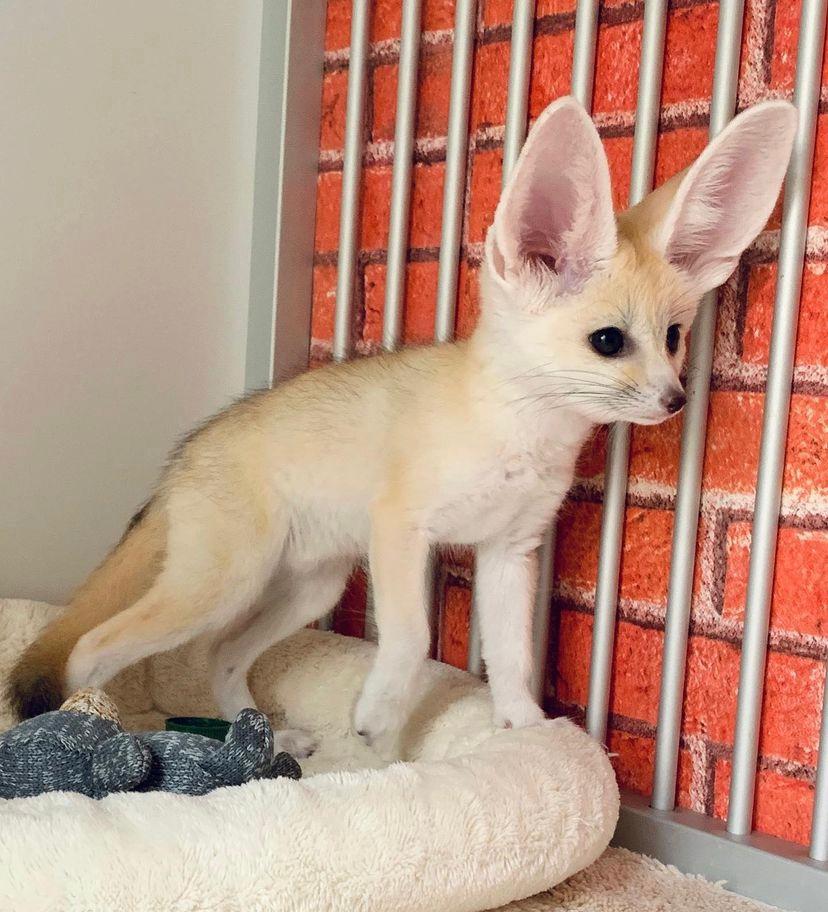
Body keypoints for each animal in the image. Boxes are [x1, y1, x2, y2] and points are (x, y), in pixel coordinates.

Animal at [7, 97, 797, 757]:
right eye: (608, 341)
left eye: (672, 338)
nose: (674, 400)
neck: (515, 433)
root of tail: (185, 455)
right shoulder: (401, 530)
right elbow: (413, 639)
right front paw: (379, 718)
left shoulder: (510, 553)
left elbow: (512, 657)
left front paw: (524, 729)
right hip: (222, 585)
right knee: (95, 647)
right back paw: (98, 730)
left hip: (311, 589)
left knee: (219, 656)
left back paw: (262, 736)